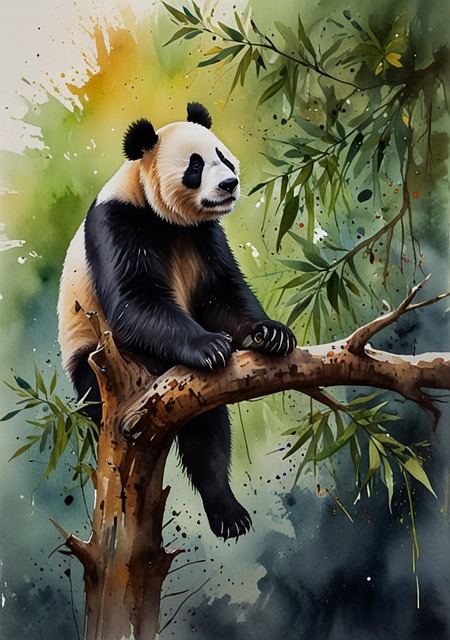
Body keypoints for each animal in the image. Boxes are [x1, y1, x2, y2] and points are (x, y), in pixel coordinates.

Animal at [58, 102, 297, 540]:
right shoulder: (118, 224)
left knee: (208, 433)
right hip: (91, 365)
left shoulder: (205, 236)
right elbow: (136, 300)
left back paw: (227, 512)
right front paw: (211, 346)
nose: (230, 184)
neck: (167, 220)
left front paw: (270, 334)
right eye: (195, 165)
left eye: (223, 156)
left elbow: (222, 294)